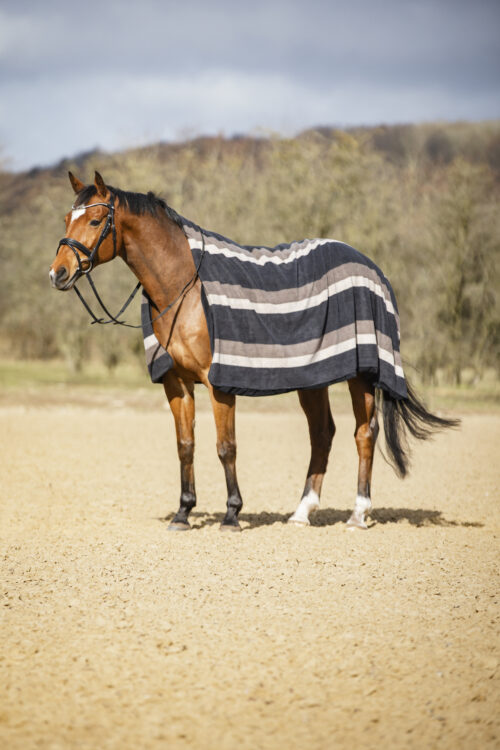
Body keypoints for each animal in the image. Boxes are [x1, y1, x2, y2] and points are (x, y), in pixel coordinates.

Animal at [49, 171, 458, 532]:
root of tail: (372, 268)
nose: (58, 273)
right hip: (313, 379)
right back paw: (301, 513)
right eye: (68, 218)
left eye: (96, 220)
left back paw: (358, 514)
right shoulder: (176, 384)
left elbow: (225, 447)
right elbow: (186, 446)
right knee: (322, 433)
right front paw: (183, 513)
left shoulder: (218, 383)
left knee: (364, 433)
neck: (184, 288)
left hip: (361, 374)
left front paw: (232, 514)